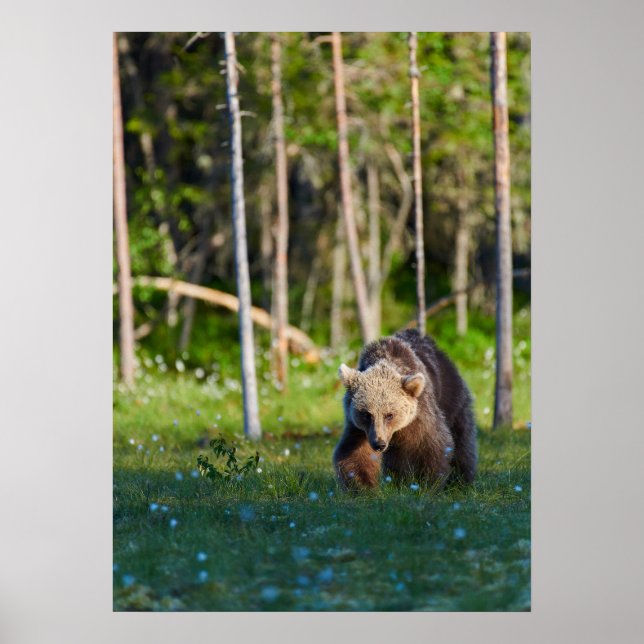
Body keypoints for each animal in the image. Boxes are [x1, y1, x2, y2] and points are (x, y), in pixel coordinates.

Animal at [333, 328, 477, 489]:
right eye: (367, 414)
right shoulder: (358, 428)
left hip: (452, 396)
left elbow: (431, 446)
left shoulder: (420, 414)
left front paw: (426, 483)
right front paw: (362, 485)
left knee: (462, 439)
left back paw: (462, 479)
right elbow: (354, 453)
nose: (379, 444)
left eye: (389, 415)